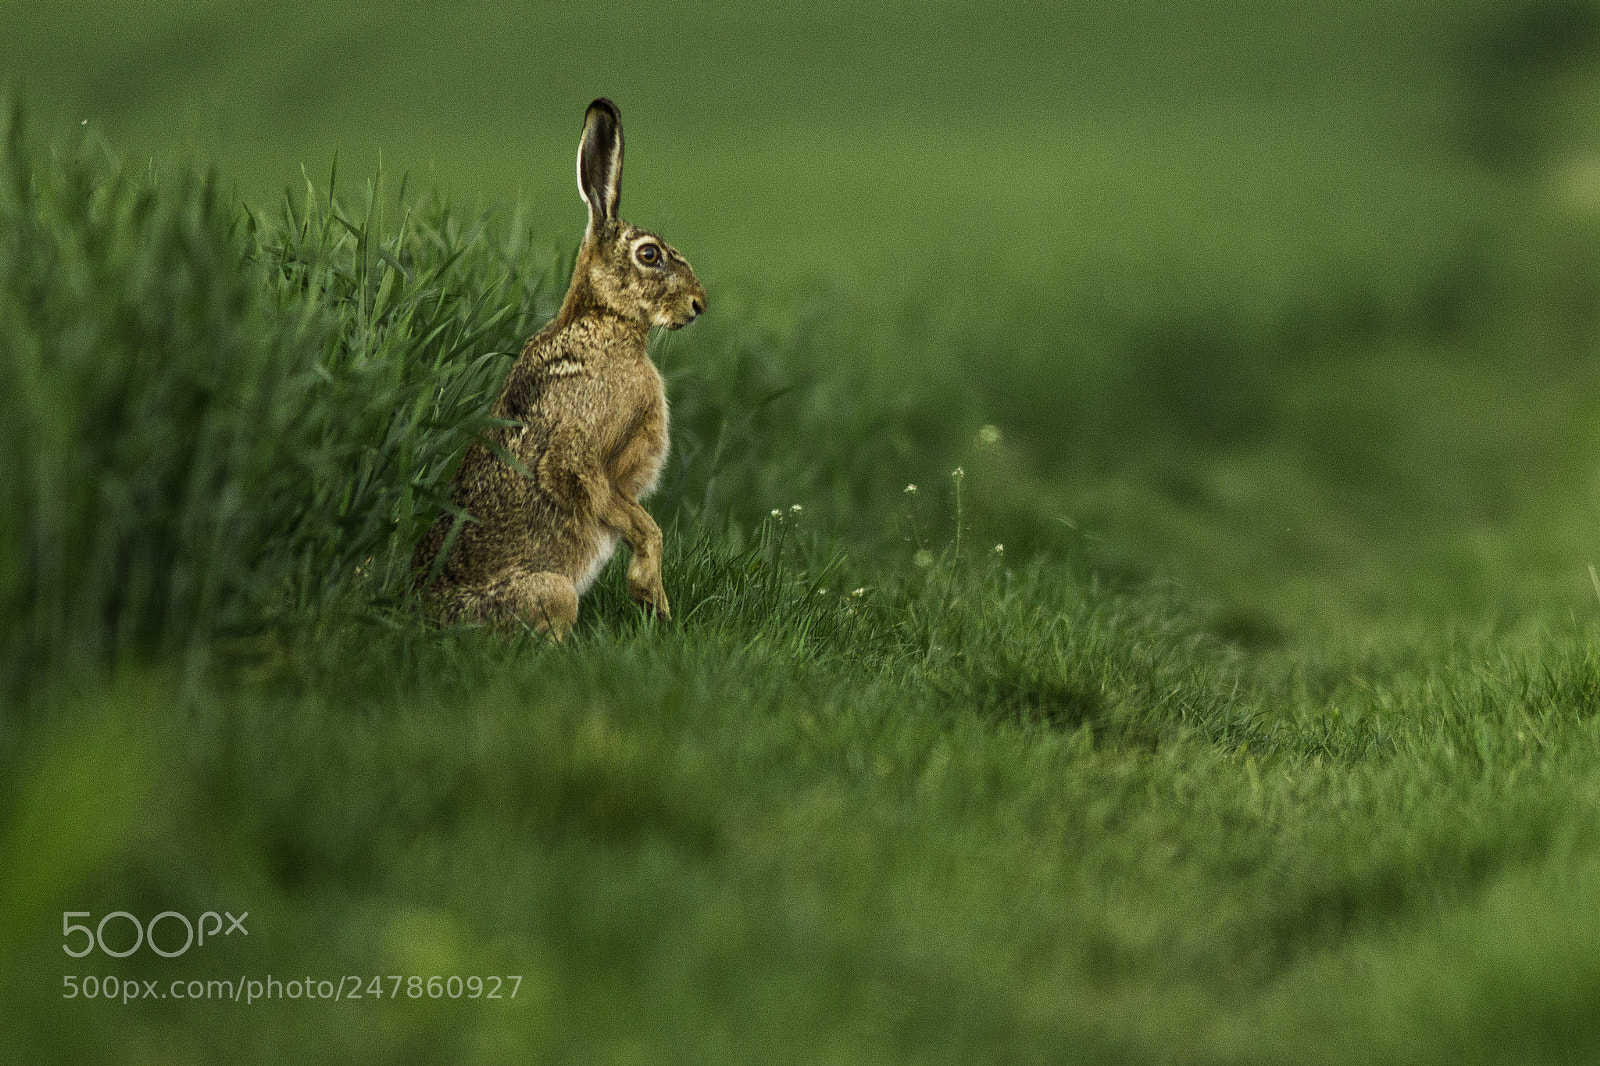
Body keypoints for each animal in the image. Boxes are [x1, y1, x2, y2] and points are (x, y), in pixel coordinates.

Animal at [410, 97, 706, 640]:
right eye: (649, 254)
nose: (699, 305)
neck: (604, 320)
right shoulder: (579, 458)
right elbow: (636, 522)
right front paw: (650, 598)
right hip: (553, 592)